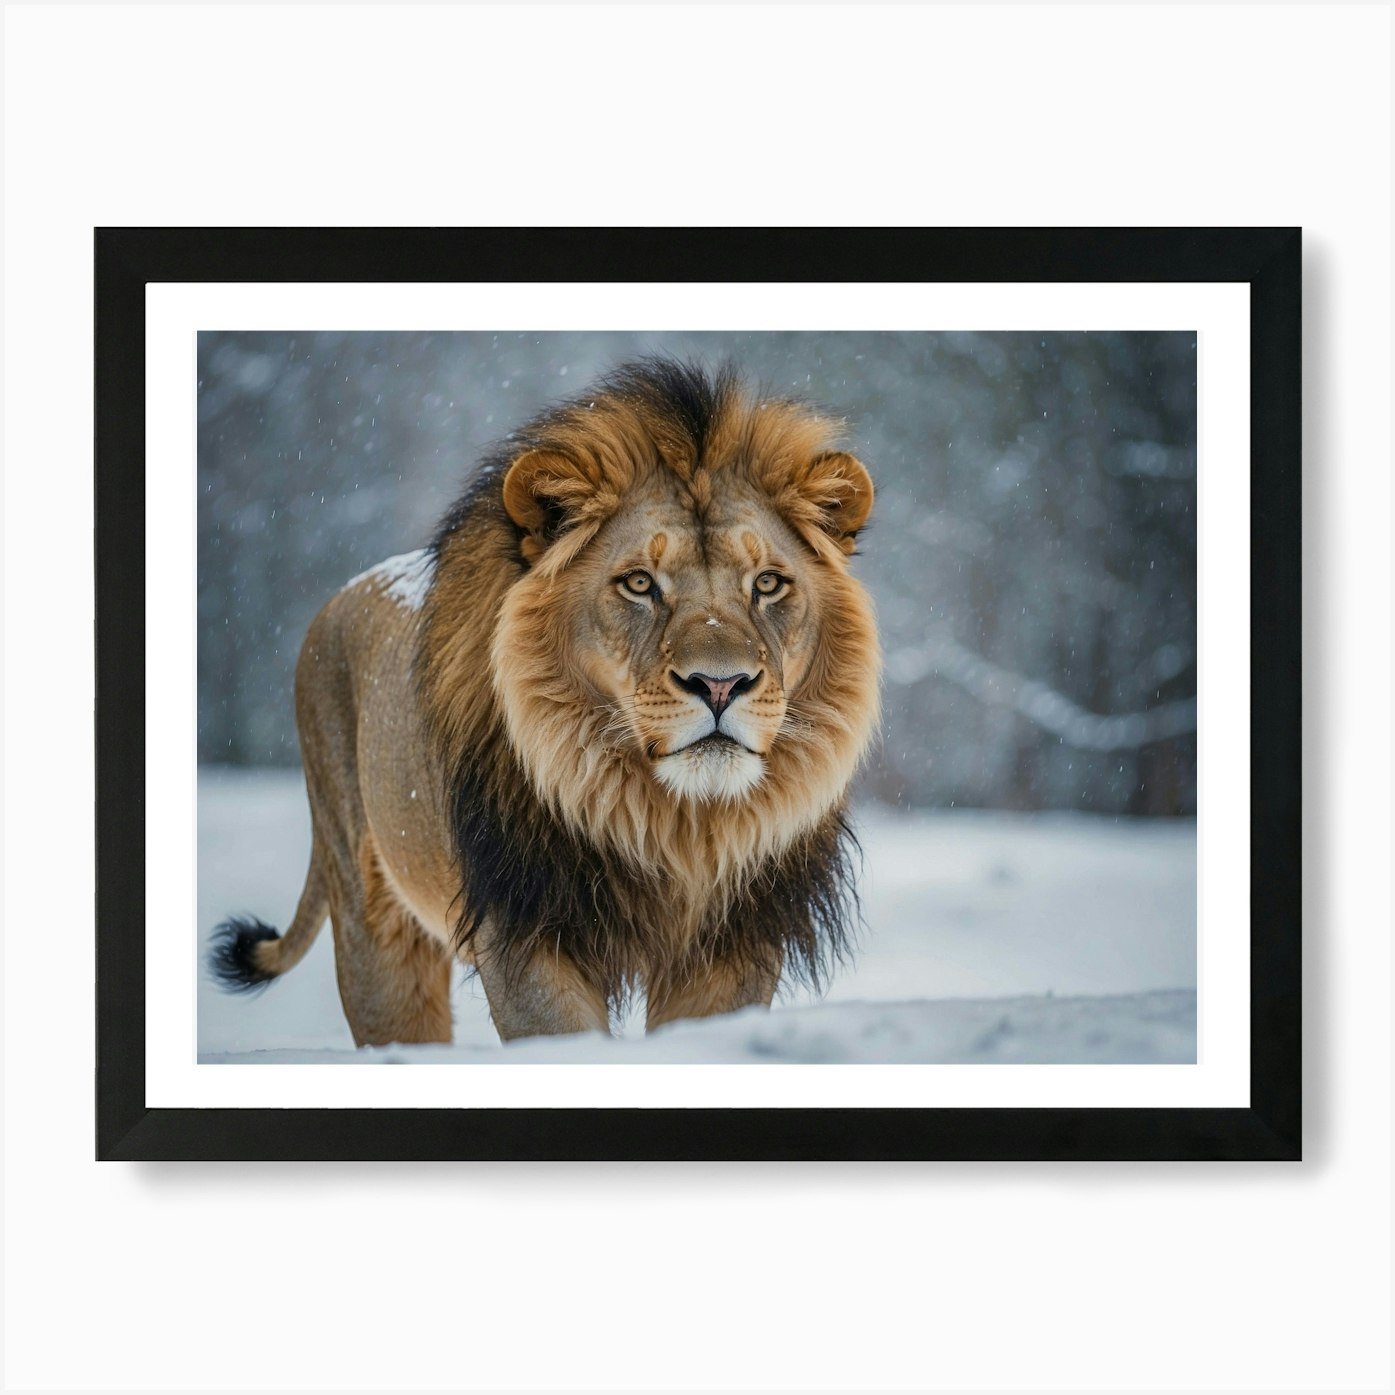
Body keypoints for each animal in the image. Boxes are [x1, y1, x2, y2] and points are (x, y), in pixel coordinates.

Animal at [209, 359, 881, 1046]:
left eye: (768, 583)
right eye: (639, 583)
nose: (720, 685)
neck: (677, 826)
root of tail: (340, 598)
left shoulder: (737, 940)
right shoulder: (526, 934)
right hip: (373, 928)